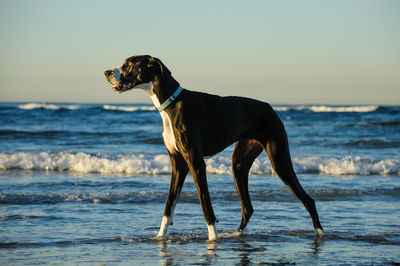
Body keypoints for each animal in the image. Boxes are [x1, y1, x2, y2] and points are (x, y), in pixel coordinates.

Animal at [104, 55, 324, 240]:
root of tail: (271, 108)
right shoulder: (178, 165)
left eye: (129, 64)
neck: (171, 104)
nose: (106, 72)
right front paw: (159, 237)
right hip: (239, 164)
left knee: (308, 200)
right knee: (248, 207)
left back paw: (320, 234)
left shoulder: (196, 163)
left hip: (279, 161)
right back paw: (236, 234)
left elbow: (206, 206)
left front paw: (212, 239)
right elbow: (168, 206)